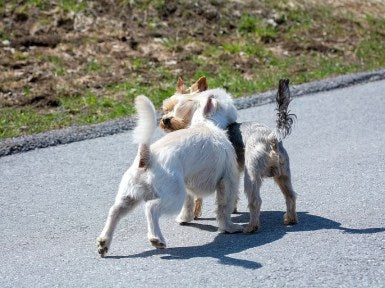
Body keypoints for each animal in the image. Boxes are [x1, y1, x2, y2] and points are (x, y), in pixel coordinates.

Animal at [95, 93, 240, 256]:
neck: (205, 123)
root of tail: (147, 158)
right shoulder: (228, 180)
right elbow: (224, 207)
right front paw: (229, 227)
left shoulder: (187, 186)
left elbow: (189, 204)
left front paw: (185, 218)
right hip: (173, 196)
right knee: (151, 208)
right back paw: (156, 239)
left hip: (130, 195)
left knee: (115, 211)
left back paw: (104, 242)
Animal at [160, 77, 296, 233]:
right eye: (166, 109)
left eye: (179, 109)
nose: (165, 119)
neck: (207, 122)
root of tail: (271, 138)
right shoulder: (232, 173)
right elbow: (231, 195)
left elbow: (195, 198)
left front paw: (192, 215)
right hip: (283, 173)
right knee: (290, 195)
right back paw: (290, 219)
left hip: (252, 175)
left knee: (255, 201)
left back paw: (251, 227)